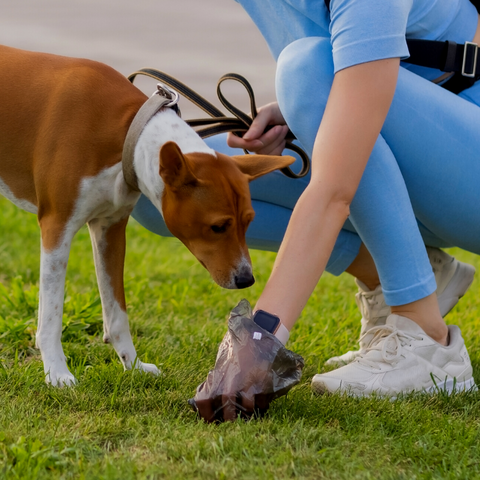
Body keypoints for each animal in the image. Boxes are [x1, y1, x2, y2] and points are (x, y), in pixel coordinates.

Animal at [0, 45, 294, 386]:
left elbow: (117, 315)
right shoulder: (56, 226)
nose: (247, 279)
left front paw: (133, 365)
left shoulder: (110, 229)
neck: (125, 131)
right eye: (218, 226)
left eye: (249, 222)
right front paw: (57, 372)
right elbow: (51, 314)